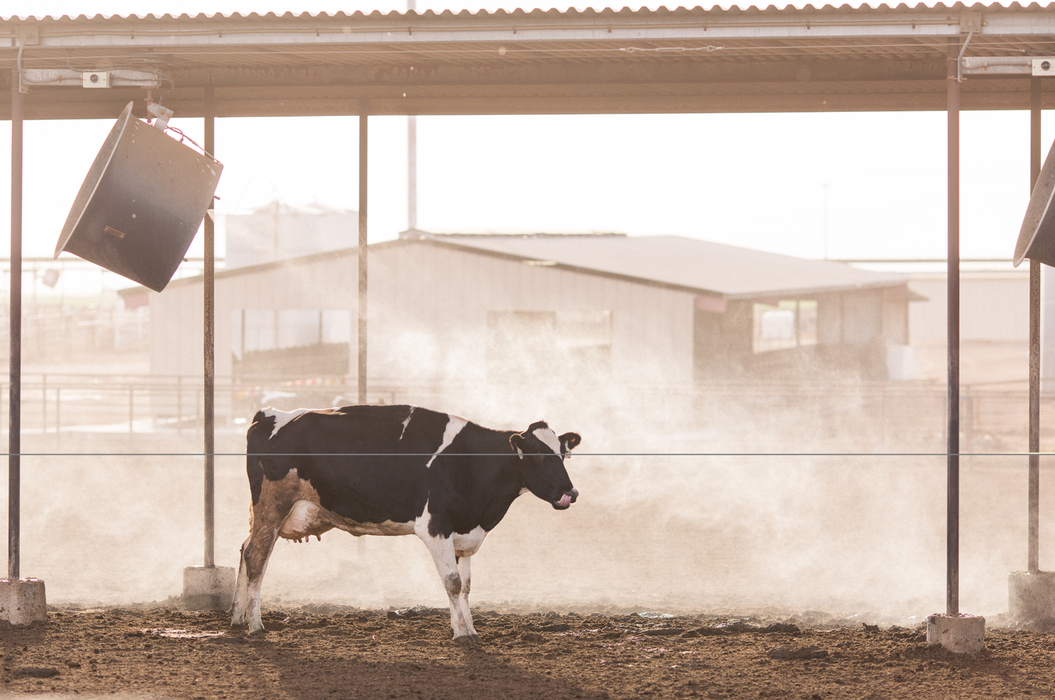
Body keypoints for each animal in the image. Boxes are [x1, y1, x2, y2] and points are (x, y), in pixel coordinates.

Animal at [230, 404, 581, 643]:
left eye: (563, 454)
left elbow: (466, 586)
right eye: (539, 455)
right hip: (272, 507)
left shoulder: (464, 535)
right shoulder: (435, 528)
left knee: (246, 550)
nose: (570, 492)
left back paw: (236, 617)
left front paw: (469, 627)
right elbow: (452, 583)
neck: (470, 463)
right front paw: (462, 633)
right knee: (257, 557)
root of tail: (269, 414)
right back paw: (255, 625)